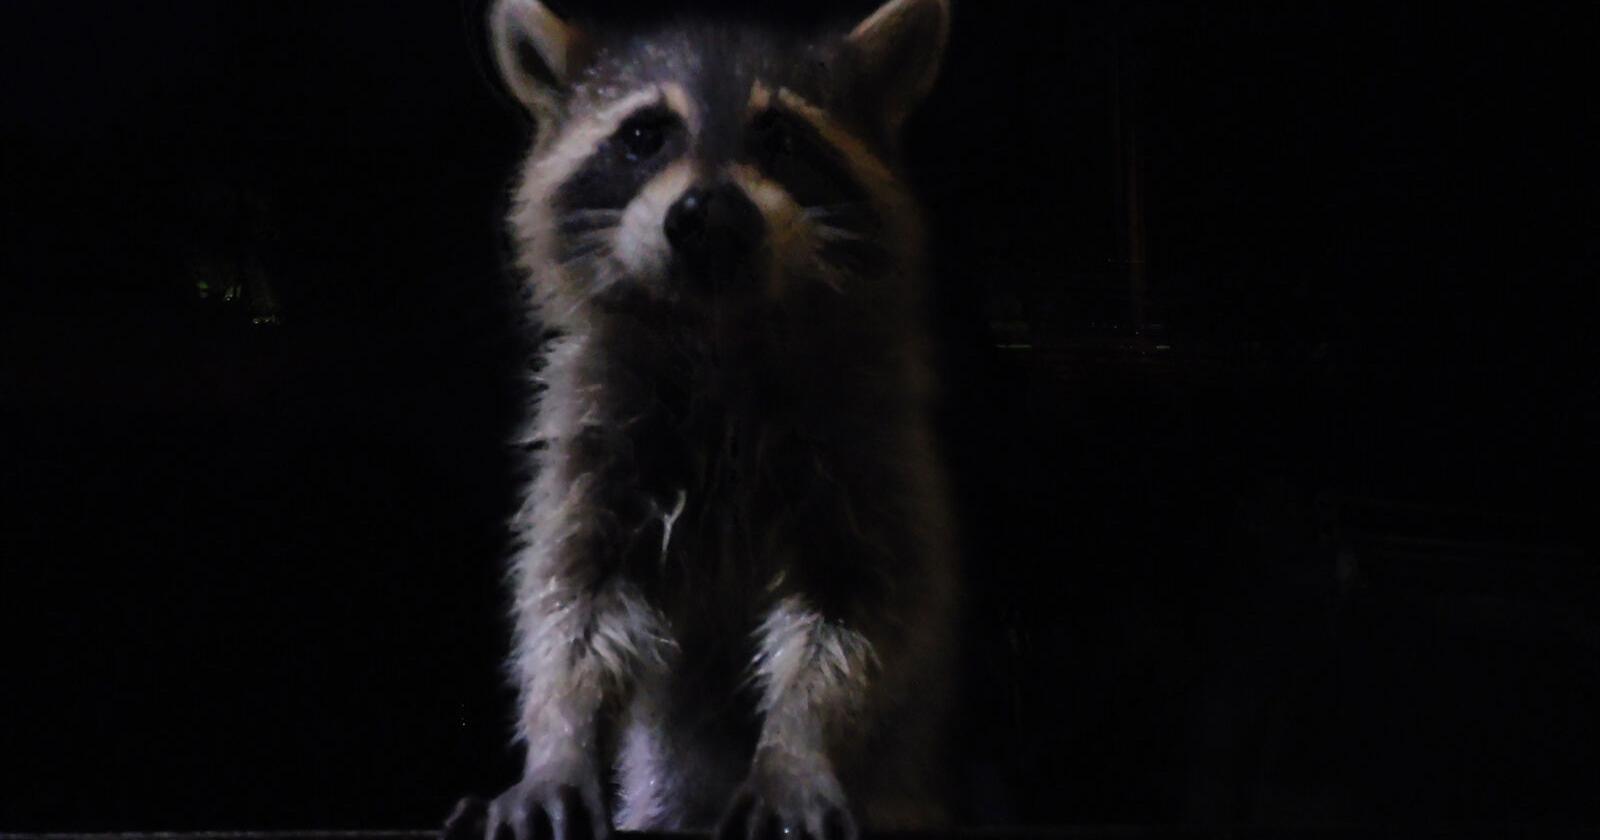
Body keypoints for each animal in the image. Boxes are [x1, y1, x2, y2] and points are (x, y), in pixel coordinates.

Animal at [445, 2, 957, 838]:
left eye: (781, 136)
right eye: (644, 135)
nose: (708, 209)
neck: (719, 333)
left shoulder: (865, 444)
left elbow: (859, 615)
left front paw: (797, 744)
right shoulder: (595, 445)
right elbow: (572, 604)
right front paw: (560, 743)